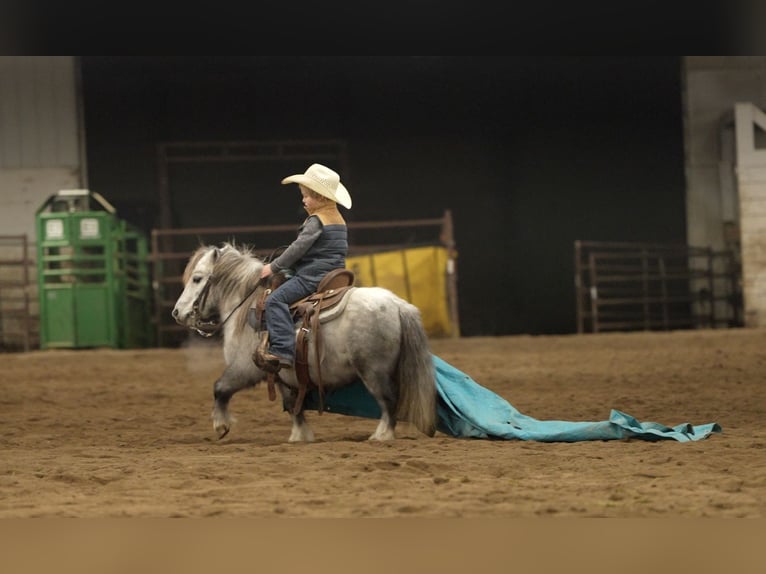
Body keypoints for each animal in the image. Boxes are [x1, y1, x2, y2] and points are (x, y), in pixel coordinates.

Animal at [171, 242, 437, 443]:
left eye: (197, 279)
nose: (177, 312)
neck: (248, 308)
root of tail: (399, 305)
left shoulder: (245, 369)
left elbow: (220, 388)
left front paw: (221, 425)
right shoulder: (282, 375)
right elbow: (292, 405)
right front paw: (300, 435)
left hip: (374, 371)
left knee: (388, 401)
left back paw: (382, 435)